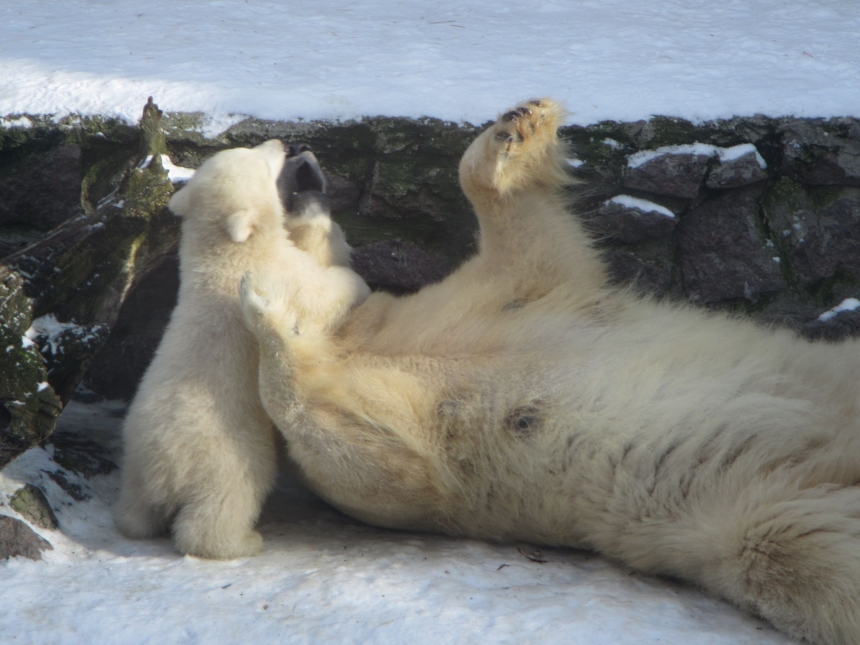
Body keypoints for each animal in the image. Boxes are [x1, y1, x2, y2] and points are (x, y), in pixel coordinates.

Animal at [114, 141, 370, 560]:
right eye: (260, 159)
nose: (283, 144)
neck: (228, 253)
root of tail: (163, 469)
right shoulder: (278, 275)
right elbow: (318, 293)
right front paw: (357, 282)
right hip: (226, 455)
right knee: (225, 501)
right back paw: (242, 541)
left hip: (134, 460)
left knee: (137, 509)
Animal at [240, 100, 860, 644]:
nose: (302, 159)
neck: (358, 337)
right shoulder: (424, 446)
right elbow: (383, 466)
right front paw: (268, 311)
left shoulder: (498, 300)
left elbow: (536, 248)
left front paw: (517, 127)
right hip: (765, 502)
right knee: (804, 554)